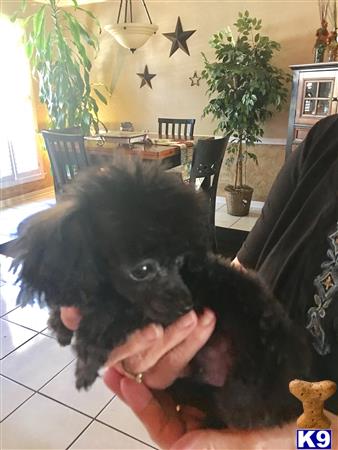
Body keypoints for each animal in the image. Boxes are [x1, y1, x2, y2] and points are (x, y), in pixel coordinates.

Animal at [12, 159, 312, 428]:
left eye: (179, 261)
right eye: (143, 270)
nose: (187, 305)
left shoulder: (151, 313)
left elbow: (116, 313)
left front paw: (87, 355)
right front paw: (60, 323)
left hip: (241, 392)